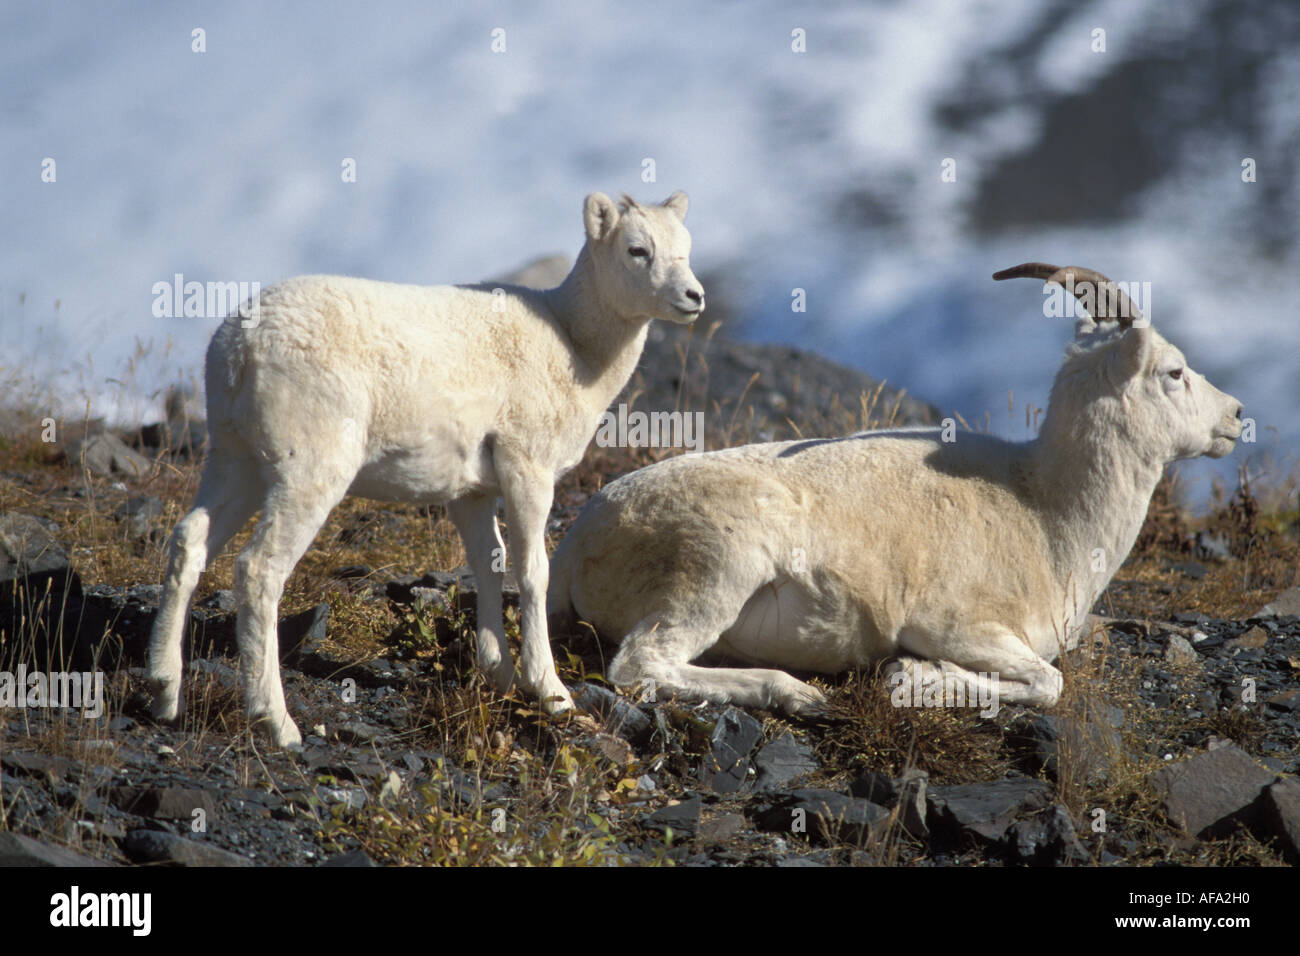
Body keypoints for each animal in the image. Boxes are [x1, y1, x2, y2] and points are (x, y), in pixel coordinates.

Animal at [147, 191, 705, 747]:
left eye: (685, 246)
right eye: (637, 249)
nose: (694, 296)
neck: (573, 347)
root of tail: (239, 349)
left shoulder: (473, 493)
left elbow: (489, 564)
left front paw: (498, 674)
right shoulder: (527, 470)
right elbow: (531, 573)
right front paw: (551, 693)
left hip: (235, 463)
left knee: (189, 541)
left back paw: (165, 693)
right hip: (306, 475)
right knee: (259, 569)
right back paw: (277, 722)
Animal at [547, 263, 1243, 714]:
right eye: (1174, 372)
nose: (1236, 416)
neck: (1047, 515)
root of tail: (576, 543)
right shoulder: (957, 627)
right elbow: (1049, 684)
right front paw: (913, 679)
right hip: (717, 573)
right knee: (639, 665)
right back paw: (796, 694)